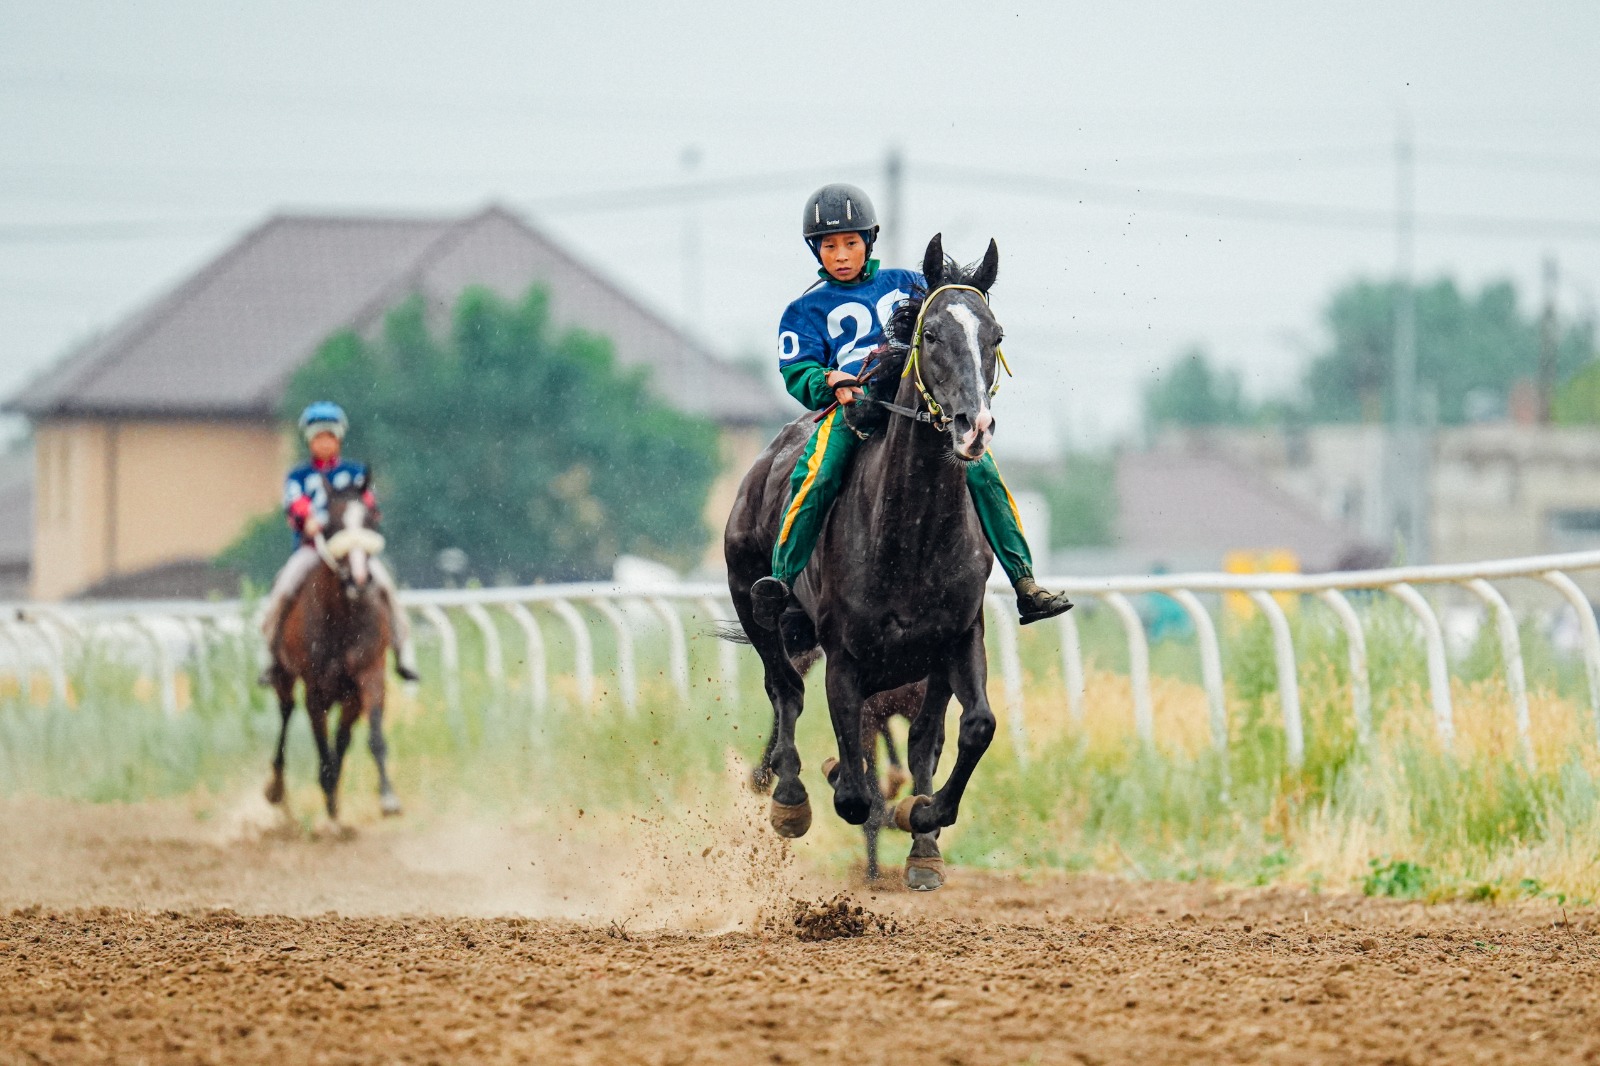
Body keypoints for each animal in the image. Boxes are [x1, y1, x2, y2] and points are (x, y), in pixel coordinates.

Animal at [263, 475, 401, 825]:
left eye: (370, 519)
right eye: (333, 524)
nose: (360, 578)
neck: (342, 617)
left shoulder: (368, 676)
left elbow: (369, 737)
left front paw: (388, 797)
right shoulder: (316, 689)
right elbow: (322, 746)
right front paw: (329, 808)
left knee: (340, 736)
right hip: (284, 676)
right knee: (285, 714)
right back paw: (276, 788)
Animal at [725, 233, 1005, 890]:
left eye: (995, 335)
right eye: (932, 335)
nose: (973, 427)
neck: (911, 536)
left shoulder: (958, 635)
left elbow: (972, 728)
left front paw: (924, 820)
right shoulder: (846, 656)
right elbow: (852, 788)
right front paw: (842, 787)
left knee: (924, 736)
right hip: (752, 598)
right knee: (785, 689)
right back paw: (790, 798)